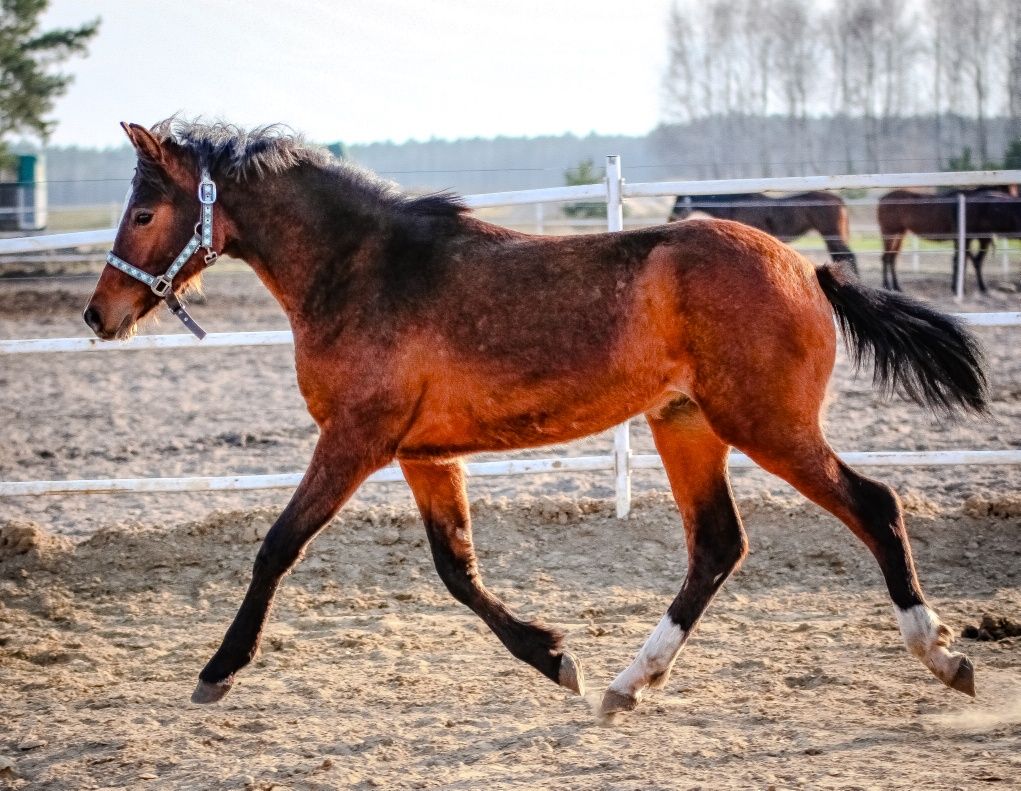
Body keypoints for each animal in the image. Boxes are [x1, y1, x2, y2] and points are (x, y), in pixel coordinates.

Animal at [878, 186, 1021, 293]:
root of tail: (883, 199)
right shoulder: (964, 238)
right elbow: (962, 261)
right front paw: (961, 288)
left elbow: (960, 260)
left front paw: (957, 287)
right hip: (890, 233)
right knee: (886, 258)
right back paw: (887, 286)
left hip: (899, 235)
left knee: (892, 258)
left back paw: (896, 287)